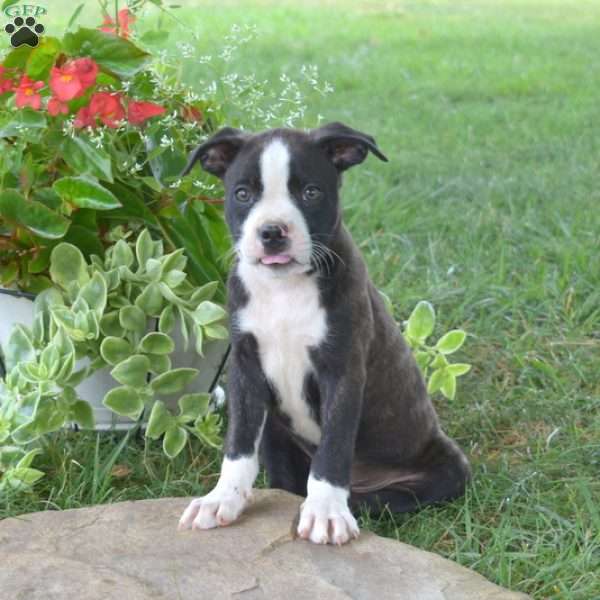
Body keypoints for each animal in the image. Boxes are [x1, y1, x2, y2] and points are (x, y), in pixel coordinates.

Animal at [177, 120, 468, 544]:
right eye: (242, 194)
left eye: (311, 192)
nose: (272, 232)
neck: (284, 289)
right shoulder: (245, 368)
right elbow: (239, 444)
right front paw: (223, 498)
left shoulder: (342, 371)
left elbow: (334, 445)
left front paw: (327, 510)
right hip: (277, 435)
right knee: (286, 480)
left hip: (446, 467)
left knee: (387, 496)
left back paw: (349, 502)